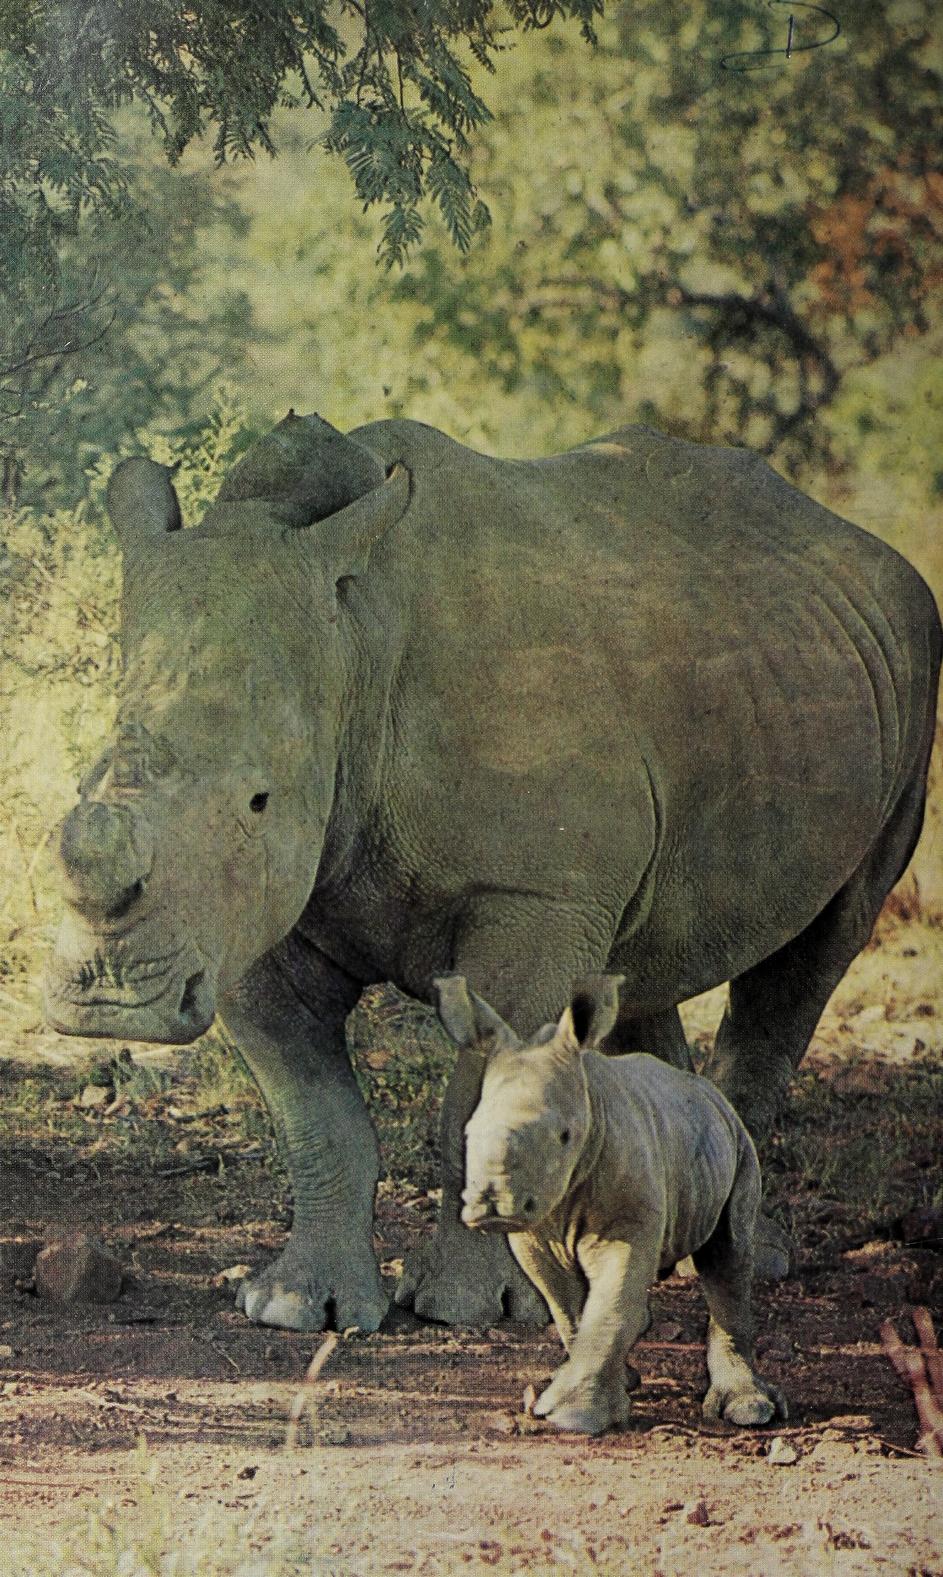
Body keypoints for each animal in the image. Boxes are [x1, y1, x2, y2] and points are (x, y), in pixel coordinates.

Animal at [45, 413, 941, 1334]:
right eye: (81, 787)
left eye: (259, 799)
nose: (109, 999)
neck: (353, 646)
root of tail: (854, 540)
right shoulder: (243, 912)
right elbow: (316, 1116)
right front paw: (295, 1306)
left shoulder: (531, 895)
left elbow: (470, 1106)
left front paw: (465, 1310)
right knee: (641, 963)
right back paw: (656, 1245)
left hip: (907, 659)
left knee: (818, 950)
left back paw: (737, 1261)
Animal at [435, 973, 787, 1435]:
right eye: (468, 1133)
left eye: (564, 1136)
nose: (491, 1203)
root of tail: (710, 1093)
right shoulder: (534, 1233)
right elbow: (566, 1305)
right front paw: (590, 1391)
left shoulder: (626, 1220)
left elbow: (612, 1301)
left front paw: (575, 1418)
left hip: (739, 1143)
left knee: (727, 1256)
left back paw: (749, 1411)